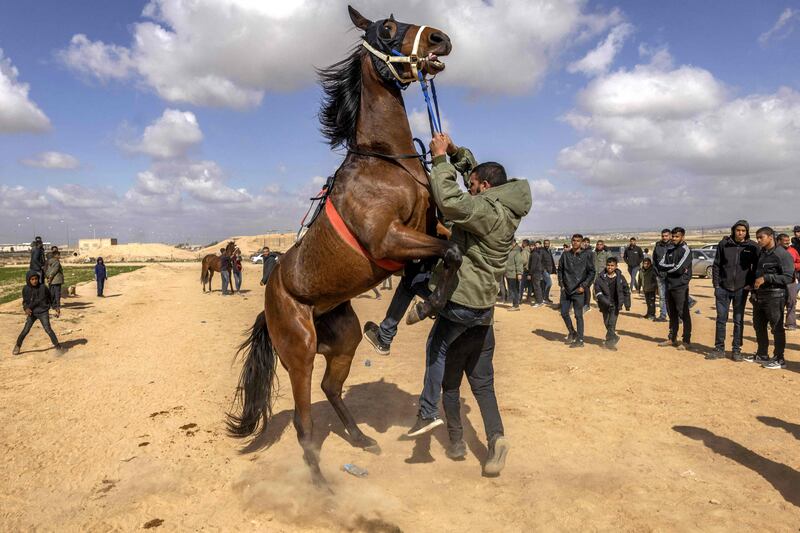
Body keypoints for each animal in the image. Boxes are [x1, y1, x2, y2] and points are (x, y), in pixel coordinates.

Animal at [228, 6, 460, 482]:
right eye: (387, 29)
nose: (440, 39)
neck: (386, 163)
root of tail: (270, 302)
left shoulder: (426, 233)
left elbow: (450, 249)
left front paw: (421, 303)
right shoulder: (388, 240)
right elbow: (449, 253)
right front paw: (428, 305)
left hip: (343, 337)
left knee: (331, 388)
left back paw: (360, 438)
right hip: (299, 350)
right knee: (304, 421)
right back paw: (320, 483)